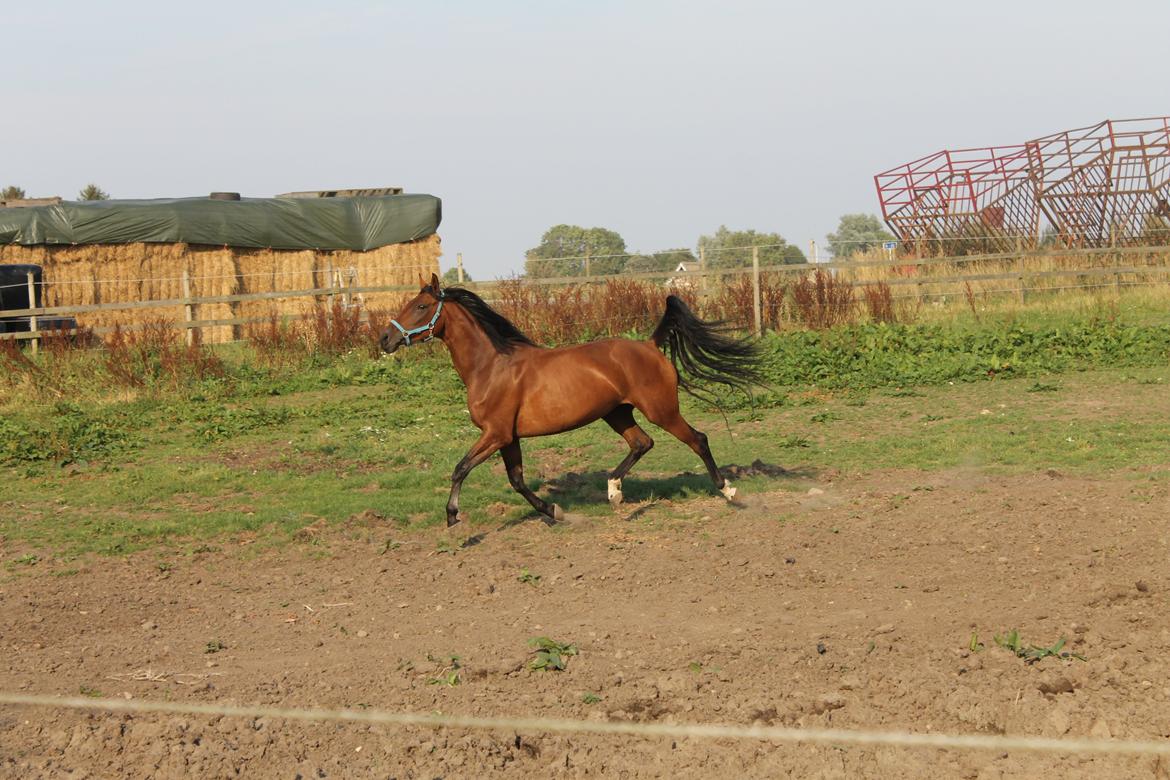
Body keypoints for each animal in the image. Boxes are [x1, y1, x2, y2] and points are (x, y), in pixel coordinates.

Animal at [383, 271, 762, 528]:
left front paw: (452, 516)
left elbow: (460, 468)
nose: (385, 339)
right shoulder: (509, 437)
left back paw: (729, 492)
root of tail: (651, 345)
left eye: (421, 306)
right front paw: (554, 511)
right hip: (617, 413)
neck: (491, 366)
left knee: (698, 439)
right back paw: (614, 492)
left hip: (661, 410)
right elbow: (517, 479)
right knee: (642, 443)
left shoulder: (495, 434)